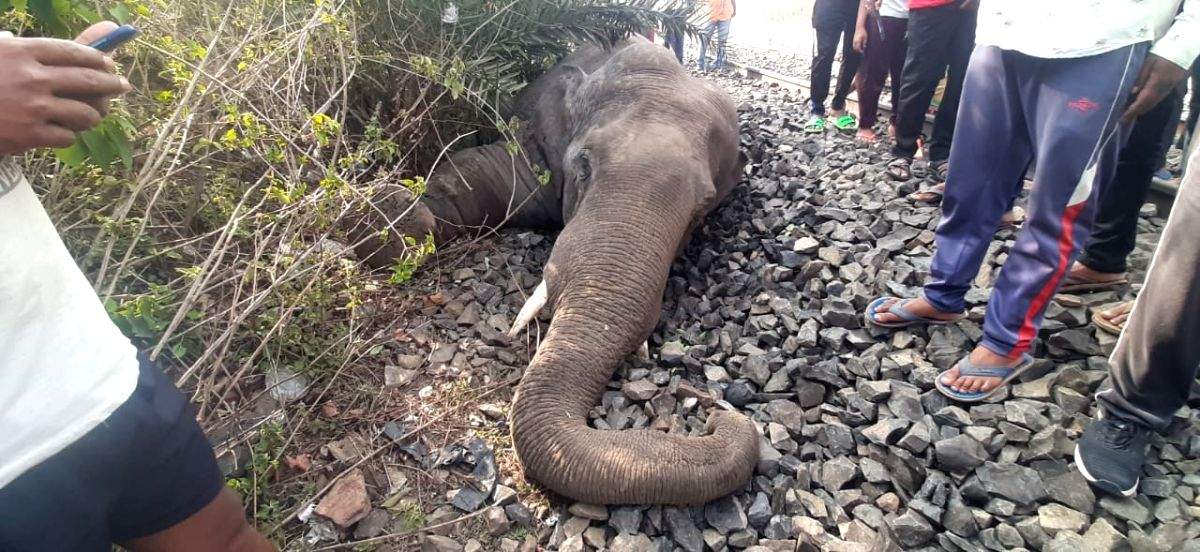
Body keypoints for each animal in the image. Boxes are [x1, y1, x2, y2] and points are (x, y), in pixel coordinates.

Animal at [353, 37, 760, 505]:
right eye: (583, 165)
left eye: (701, 211)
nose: (721, 414)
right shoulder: (534, 142)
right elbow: (477, 172)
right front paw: (382, 218)